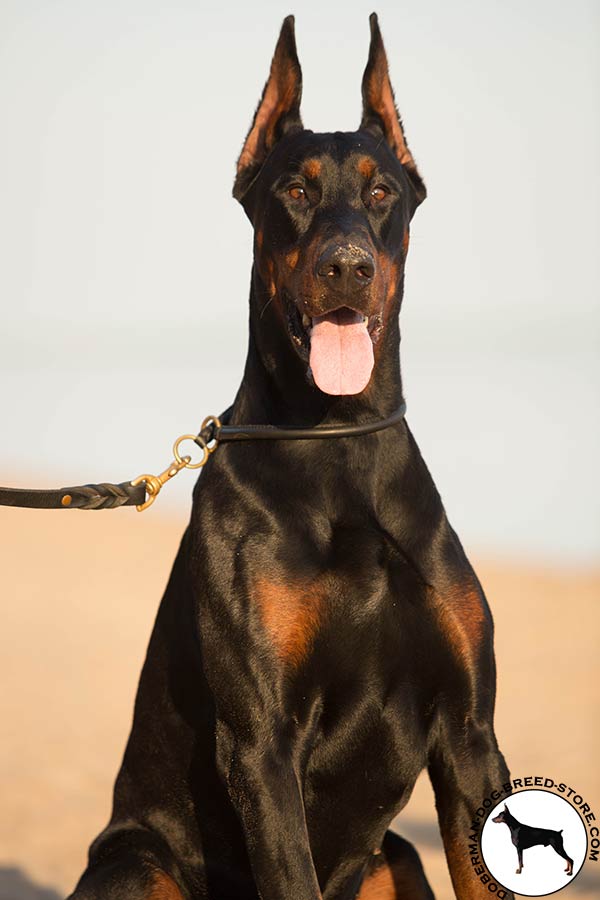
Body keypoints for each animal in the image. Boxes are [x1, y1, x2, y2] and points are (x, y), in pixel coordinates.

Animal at [69, 14, 510, 900]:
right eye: (295, 193)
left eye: (382, 193)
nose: (347, 268)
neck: (338, 443)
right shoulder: (262, 743)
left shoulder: (472, 734)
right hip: (136, 864)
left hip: (395, 858)